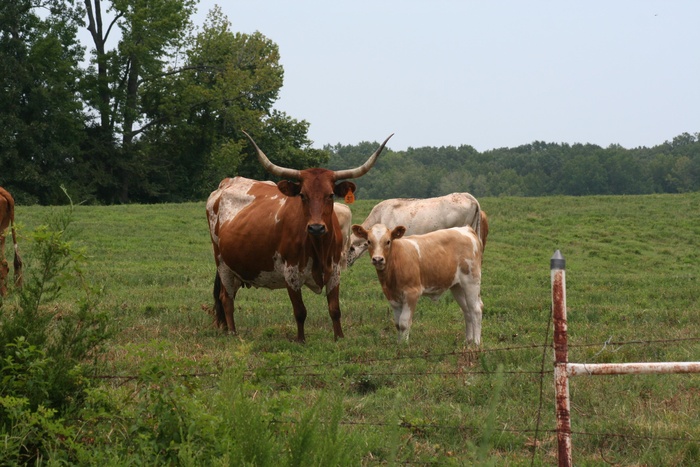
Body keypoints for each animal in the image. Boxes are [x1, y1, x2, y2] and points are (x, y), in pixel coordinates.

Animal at [208, 133, 394, 344]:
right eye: (303, 195)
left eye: (330, 195)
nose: (316, 227)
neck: (318, 248)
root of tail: (226, 183)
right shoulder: (291, 274)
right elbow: (300, 311)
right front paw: (300, 340)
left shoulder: (335, 271)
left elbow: (335, 309)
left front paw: (339, 337)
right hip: (223, 264)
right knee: (226, 298)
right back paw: (232, 332)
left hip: (238, 268)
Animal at [352, 221, 484, 346]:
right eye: (369, 241)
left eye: (388, 241)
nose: (378, 259)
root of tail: (466, 229)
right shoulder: (392, 296)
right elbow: (397, 323)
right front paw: (399, 344)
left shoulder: (412, 293)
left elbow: (404, 322)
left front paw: (404, 346)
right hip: (457, 286)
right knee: (467, 311)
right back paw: (468, 341)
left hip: (471, 281)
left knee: (476, 310)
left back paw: (476, 343)